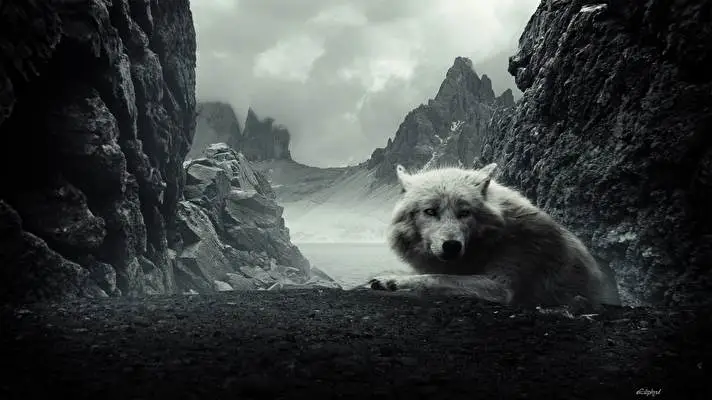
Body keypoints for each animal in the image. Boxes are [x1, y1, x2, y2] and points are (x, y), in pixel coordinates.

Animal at [369, 163, 620, 307]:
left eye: (465, 212)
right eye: (430, 211)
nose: (452, 246)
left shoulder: (500, 285)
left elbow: (437, 277)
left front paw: (392, 280)